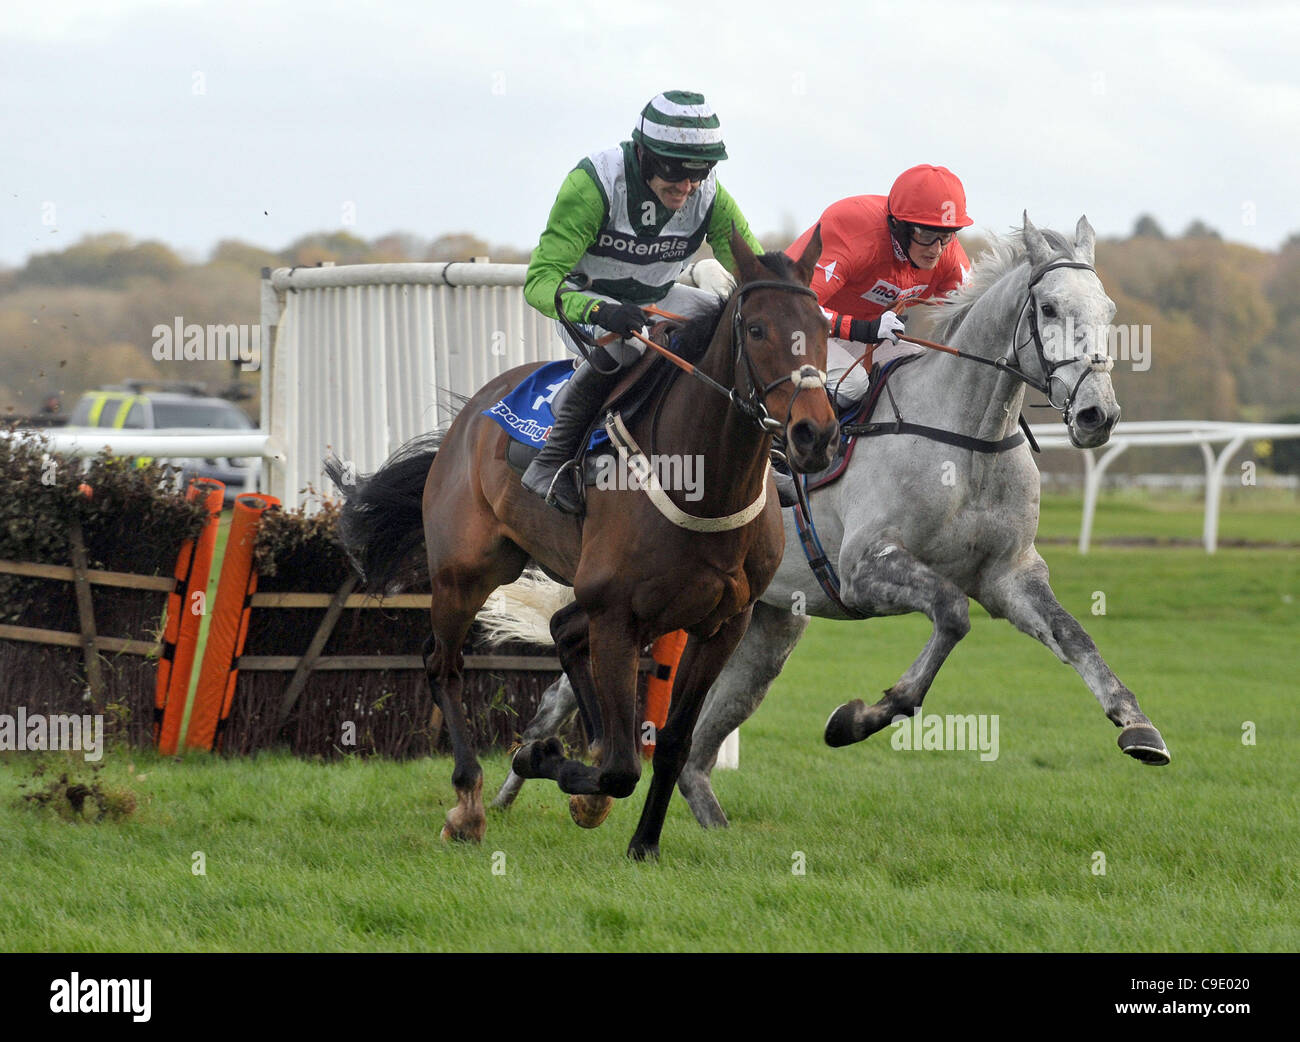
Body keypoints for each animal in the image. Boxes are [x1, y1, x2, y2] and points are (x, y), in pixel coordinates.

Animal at [325, 227, 832, 852]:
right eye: (757, 329)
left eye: (824, 326)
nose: (815, 434)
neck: (702, 484)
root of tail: (471, 414)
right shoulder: (618, 615)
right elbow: (620, 767)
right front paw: (541, 758)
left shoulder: (721, 624)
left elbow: (670, 745)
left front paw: (643, 845)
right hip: (467, 572)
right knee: (442, 662)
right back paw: (468, 801)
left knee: (563, 631)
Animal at [486, 215, 1170, 826]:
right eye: (1049, 308)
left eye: (1109, 310)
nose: (1097, 416)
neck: (965, 440)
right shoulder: (865, 568)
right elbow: (951, 614)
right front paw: (861, 718)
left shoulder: (1010, 577)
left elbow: (1074, 638)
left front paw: (1138, 727)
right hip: (653, 605)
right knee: (564, 692)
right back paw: (509, 789)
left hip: (762, 628)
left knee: (696, 752)